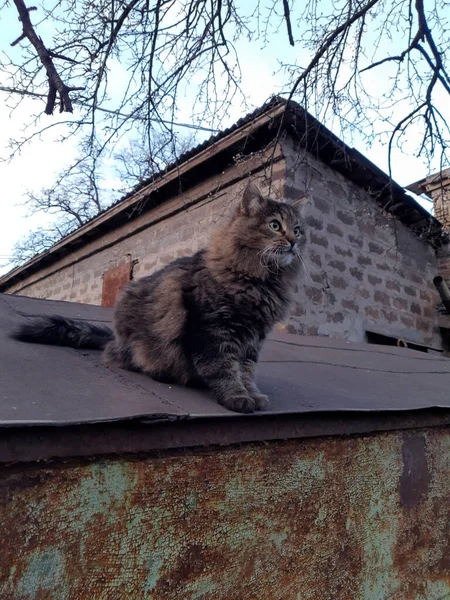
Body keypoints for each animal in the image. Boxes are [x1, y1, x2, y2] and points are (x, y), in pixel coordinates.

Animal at [13, 182, 306, 412]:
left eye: (298, 230)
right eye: (275, 225)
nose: (293, 242)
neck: (262, 281)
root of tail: (115, 338)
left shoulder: (253, 337)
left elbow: (246, 370)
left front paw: (253, 394)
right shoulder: (214, 330)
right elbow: (225, 368)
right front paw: (237, 397)